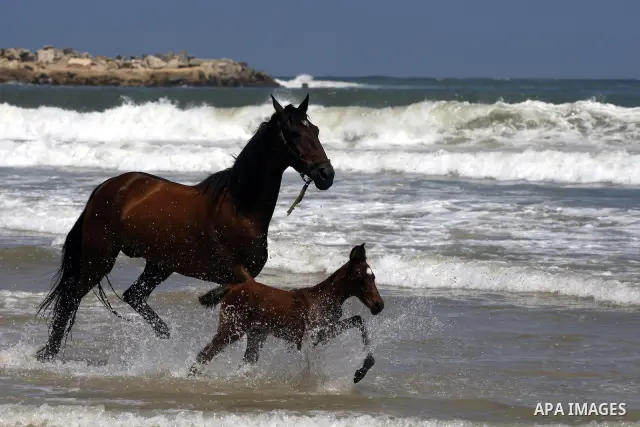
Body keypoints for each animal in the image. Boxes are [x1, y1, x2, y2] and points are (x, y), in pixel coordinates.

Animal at [35, 94, 335, 362]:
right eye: (295, 133)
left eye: (317, 130)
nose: (326, 174)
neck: (240, 208)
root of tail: (107, 186)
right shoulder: (236, 271)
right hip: (100, 258)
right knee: (71, 299)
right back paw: (49, 354)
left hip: (160, 264)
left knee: (133, 295)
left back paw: (165, 335)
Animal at [188, 243, 384, 384]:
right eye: (360, 278)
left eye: (373, 276)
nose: (379, 305)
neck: (323, 299)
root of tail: (233, 287)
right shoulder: (313, 336)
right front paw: (360, 371)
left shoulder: (321, 335)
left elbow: (358, 320)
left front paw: (362, 371)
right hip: (232, 329)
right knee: (205, 355)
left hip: (256, 335)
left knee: (244, 363)